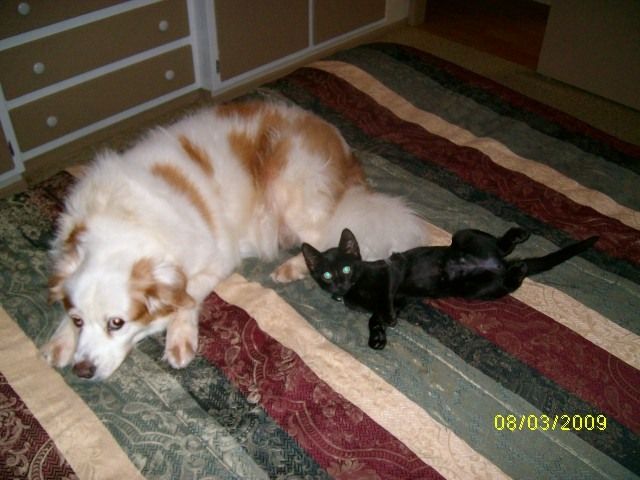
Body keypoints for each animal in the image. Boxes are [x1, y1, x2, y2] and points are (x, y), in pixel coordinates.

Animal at [42, 101, 427, 380]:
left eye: (117, 323)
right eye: (78, 320)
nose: (82, 371)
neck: (125, 221)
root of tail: (344, 149)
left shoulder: (218, 257)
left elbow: (186, 298)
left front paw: (179, 338)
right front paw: (58, 341)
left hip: (290, 189)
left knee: (331, 241)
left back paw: (293, 268)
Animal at [302, 227, 598, 350]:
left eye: (346, 269)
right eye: (326, 275)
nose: (340, 284)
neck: (357, 288)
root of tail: (498, 264)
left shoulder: (390, 273)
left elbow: (383, 301)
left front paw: (385, 321)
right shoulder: (402, 299)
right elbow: (374, 317)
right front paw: (377, 336)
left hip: (465, 237)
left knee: (503, 246)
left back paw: (518, 242)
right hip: (477, 288)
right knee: (507, 276)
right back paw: (518, 268)